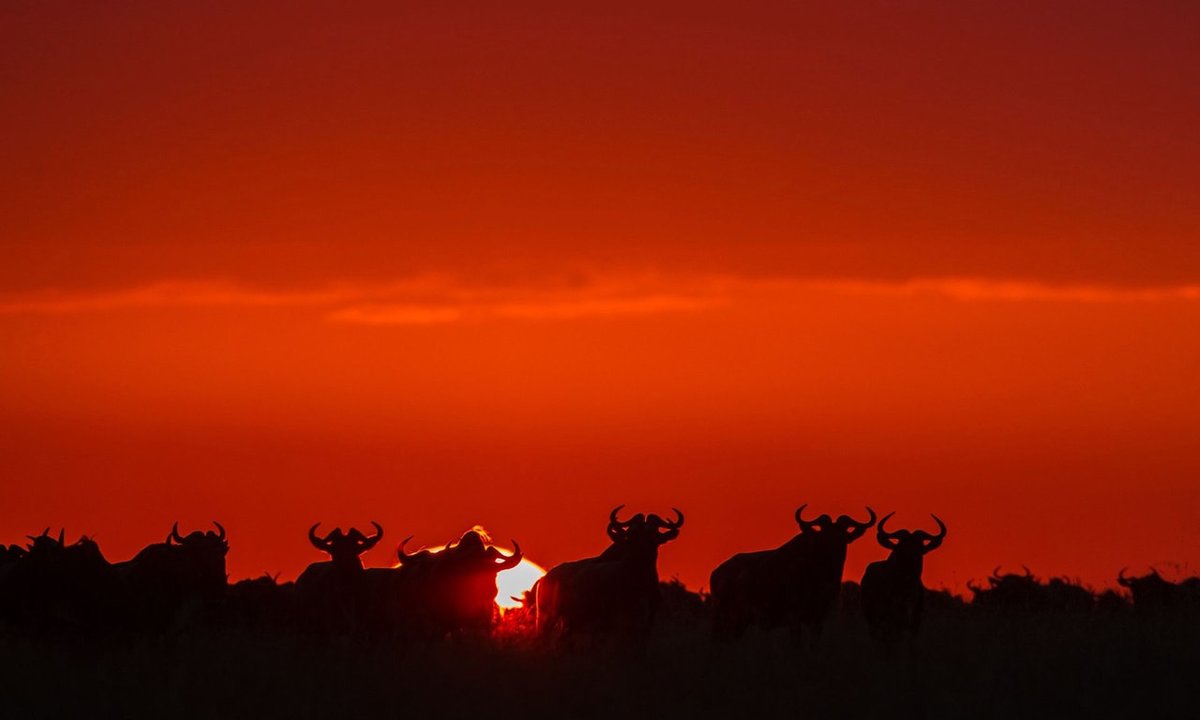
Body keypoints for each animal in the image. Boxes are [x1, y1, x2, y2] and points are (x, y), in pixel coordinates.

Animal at [535, 506, 683, 650]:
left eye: (654, 535)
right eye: (631, 534)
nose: (641, 551)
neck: (637, 579)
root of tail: (545, 578)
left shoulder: (647, 621)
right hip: (548, 616)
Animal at [710, 505, 875, 645]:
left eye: (843, 534)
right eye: (824, 533)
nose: (833, 546)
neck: (820, 571)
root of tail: (716, 573)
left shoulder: (820, 615)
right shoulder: (794, 615)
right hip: (731, 618)